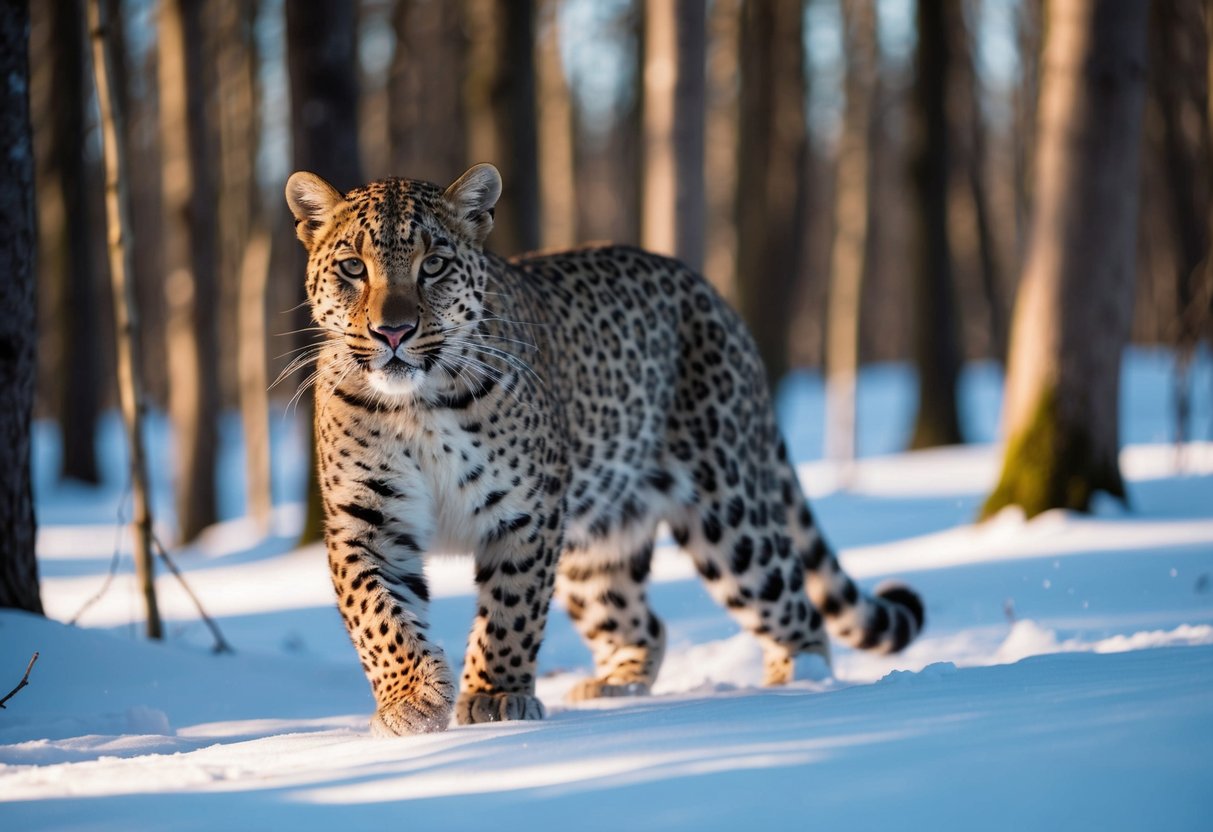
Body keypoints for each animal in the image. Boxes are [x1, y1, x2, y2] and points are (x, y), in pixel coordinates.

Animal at [286, 162, 926, 737]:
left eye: (433, 265)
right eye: (352, 268)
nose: (392, 332)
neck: (417, 405)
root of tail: (712, 293)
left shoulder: (526, 512)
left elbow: (510, 610)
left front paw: (495, 696)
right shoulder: (366, 518)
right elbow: (379, 615)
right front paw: (412, 699)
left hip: (730, 513)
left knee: (795, 604)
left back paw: (799, 686)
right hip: (597, 539)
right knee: (644, 624)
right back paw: (618, 686)